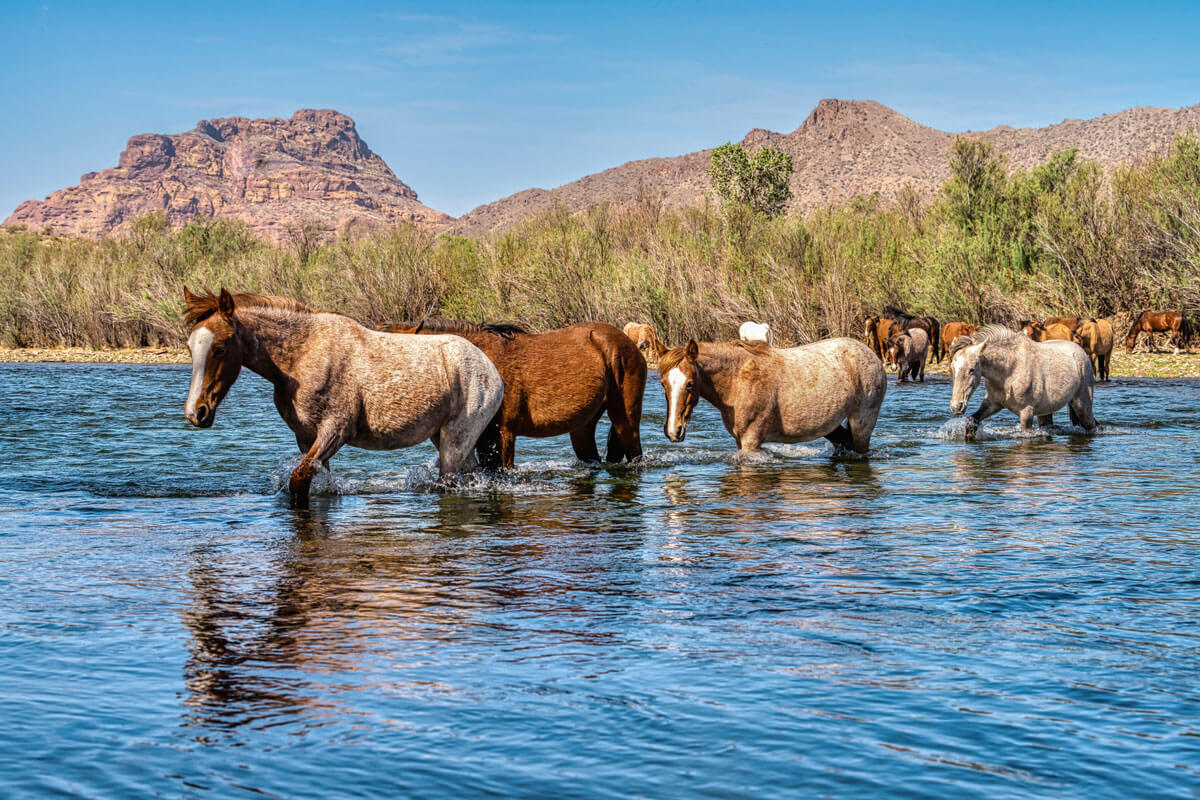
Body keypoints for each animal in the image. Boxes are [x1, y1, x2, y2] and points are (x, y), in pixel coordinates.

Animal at [184, 287, 504, 503]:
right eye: (189, 347)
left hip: (455, 442)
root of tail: (491, 370)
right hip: (445, 438)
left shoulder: (335, 431)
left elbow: (297, 482)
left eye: (220, 348)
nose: (195, 412)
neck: (302, 357)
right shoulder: (307, 439)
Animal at [945, 321, 1099, 441]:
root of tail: (1082, 353)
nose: (956, 406)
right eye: (952, 368)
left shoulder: (1026, 412)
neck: (1009, 370)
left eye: (971, 369)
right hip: (1045, 413)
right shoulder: (993, 404)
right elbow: (972, 421)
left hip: (1082, 405)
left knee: (1092, 425)